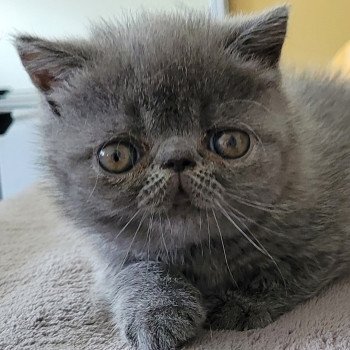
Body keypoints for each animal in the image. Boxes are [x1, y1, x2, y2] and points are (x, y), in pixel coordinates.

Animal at [15, 5, 350, 350]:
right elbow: (132, 271)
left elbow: (286, 268)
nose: (177, 159)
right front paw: (157, 313)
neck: (198, 251)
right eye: (116, 156)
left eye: (231, 142)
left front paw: (240, 303)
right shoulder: (109, 252)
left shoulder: (329, 237)